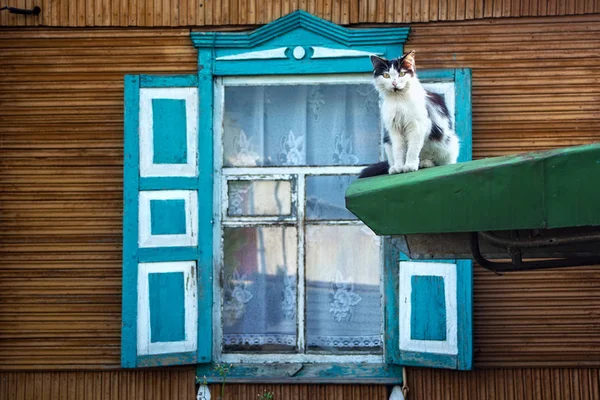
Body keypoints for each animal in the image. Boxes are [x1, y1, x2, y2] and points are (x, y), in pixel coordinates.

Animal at [360, 49, 460, 177]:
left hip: (448, 144)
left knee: (439, 162)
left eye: (402, 74)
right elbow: (399, 150)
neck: (399, 100)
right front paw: (399, 167)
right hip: (387, 143)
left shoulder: (417, 126)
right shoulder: (394, 129)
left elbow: (413, 148)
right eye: (386, 75)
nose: (394, 83)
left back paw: (425, 163)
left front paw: (410, 165)